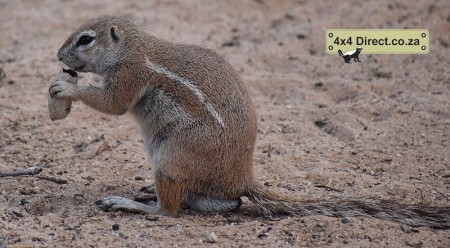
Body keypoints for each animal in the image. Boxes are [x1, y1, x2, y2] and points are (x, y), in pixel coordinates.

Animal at [47, 16, 448, 229]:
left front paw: (67, 87)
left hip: (172, 156)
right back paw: (150, 191)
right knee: (222, 203)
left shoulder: (130, 74)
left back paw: (130, 204)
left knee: (170, 212)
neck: (132, 46)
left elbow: (113, 105)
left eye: (85, 39)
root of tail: (243, 176)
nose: (59, 55)